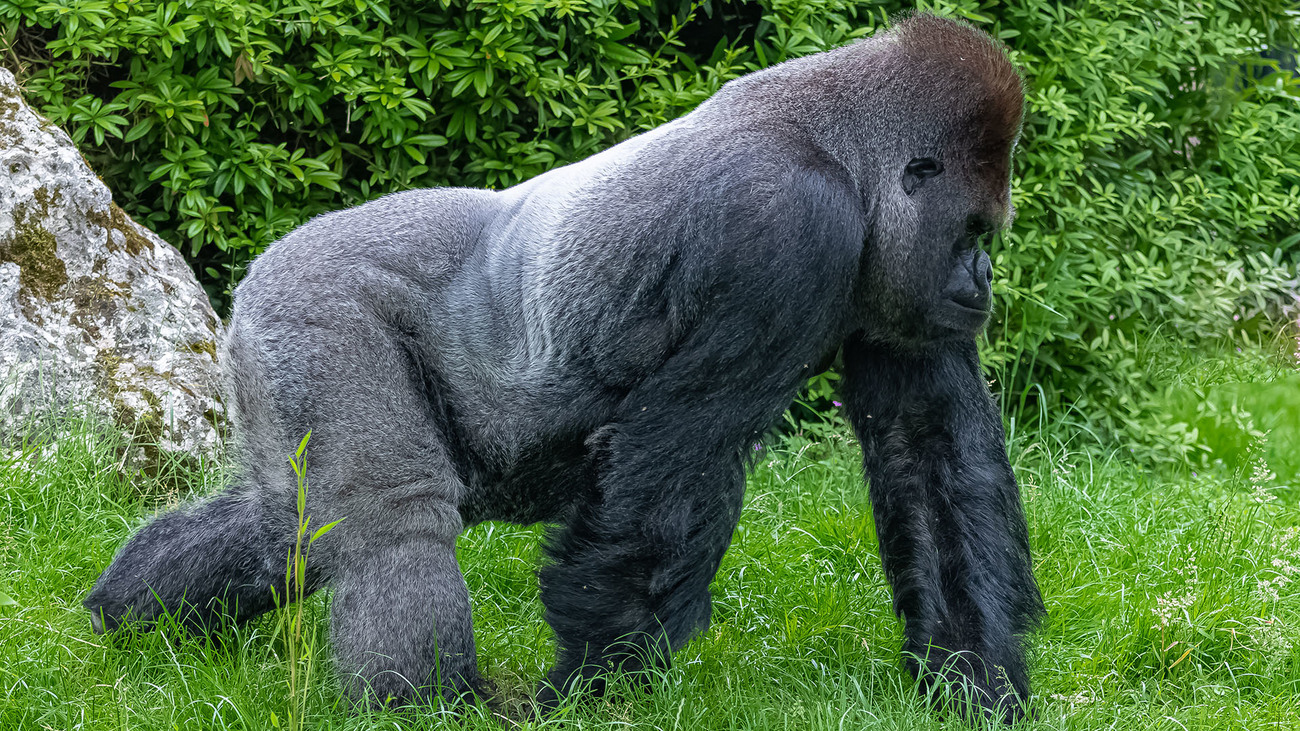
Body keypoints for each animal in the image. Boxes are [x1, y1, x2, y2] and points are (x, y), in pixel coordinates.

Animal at [83, 12, 1045, 723]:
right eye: (972, 233)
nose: (982, 282)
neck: (843, 150)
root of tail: (258, 275)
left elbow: (926, 454)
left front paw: (973, 681)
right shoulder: (781, 227)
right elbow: (665, 474)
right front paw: (592, 689)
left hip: (274, 340)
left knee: (290, 523)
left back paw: (127, 618)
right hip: (315, 304)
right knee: (394, 520)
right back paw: (422, 706)